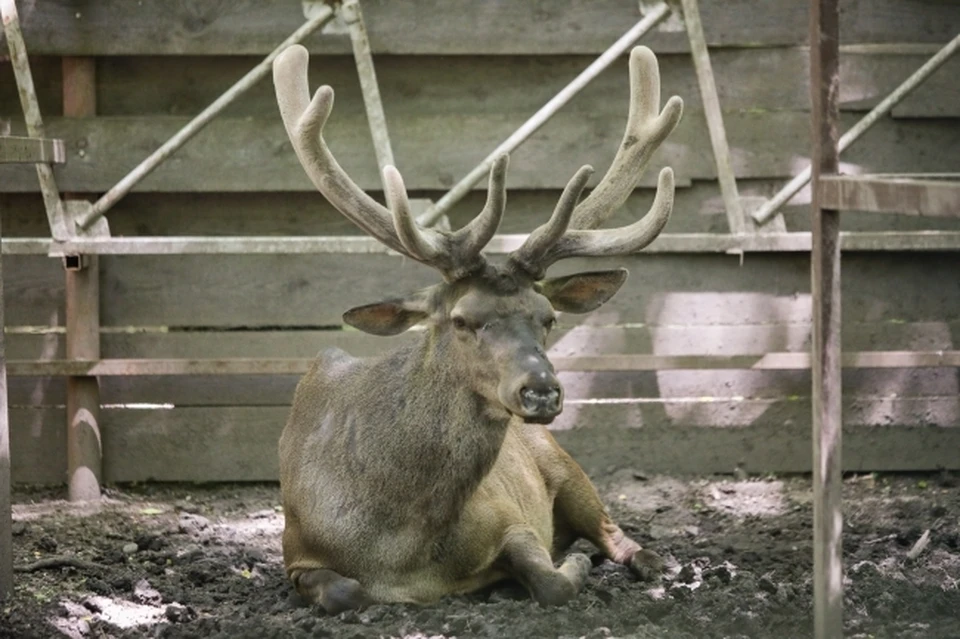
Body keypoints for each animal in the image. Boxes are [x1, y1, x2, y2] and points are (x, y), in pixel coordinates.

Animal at [270, 42, 684, 612]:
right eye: (464, 320)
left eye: (549, 316)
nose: (541, 390)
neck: (402, 544)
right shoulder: (297, 550)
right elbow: (343, 591)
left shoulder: (511, 518)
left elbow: (551, 580)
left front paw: (568, 565)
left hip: (565, 464)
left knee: (613, 530)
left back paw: (650, 562)